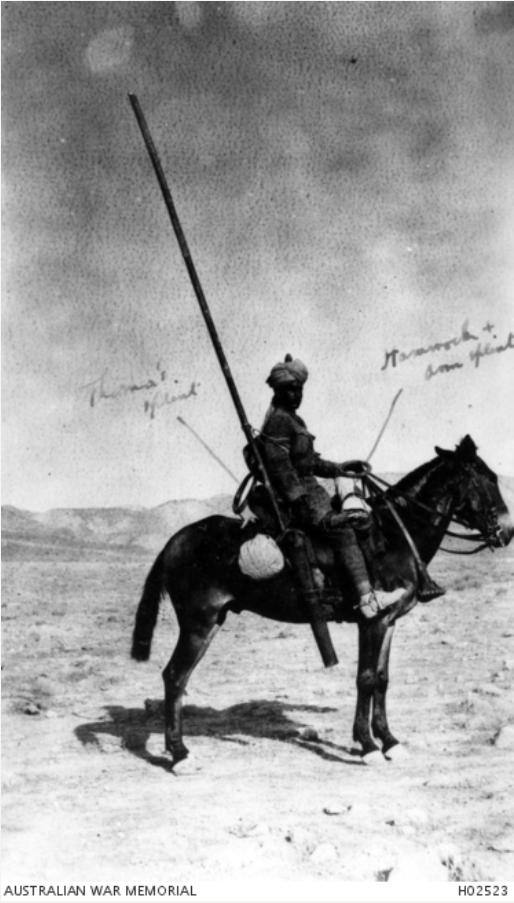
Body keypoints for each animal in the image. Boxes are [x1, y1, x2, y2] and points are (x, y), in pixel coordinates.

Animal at [130, 438, 510, 768]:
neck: (392, 537)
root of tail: (175, 541)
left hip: (213, 621)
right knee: (174, 676)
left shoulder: (390, 622)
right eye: (487, 478)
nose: (507, 531)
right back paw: (180, 755)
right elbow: (366, 678)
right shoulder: (371, 620)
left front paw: (390, 741)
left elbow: (383, 678)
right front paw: (368, 746)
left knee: (178, 678)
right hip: (198, 622)